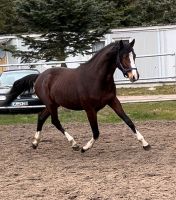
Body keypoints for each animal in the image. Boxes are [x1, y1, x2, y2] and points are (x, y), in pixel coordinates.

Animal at [2, 39, 151, 152]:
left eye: (134, 56)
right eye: (124, 56)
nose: (134, 76)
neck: (96, 78)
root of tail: (39, 77)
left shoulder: (113, 101)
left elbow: (128, 121)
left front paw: (145, 144)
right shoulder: (89, 108)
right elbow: (96, 132)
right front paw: (85, 148)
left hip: (53, 104)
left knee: (41, 117)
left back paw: (35, 143)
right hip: (51, 104)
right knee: (55, 121)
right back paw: (74, 144)